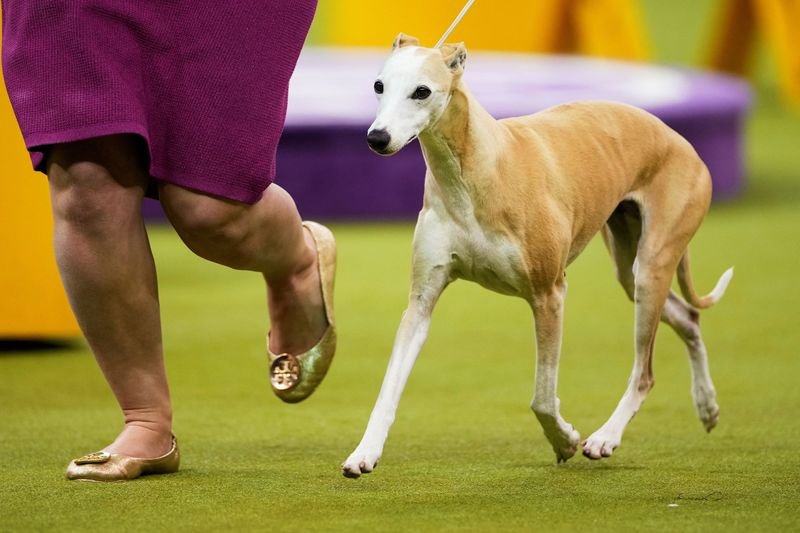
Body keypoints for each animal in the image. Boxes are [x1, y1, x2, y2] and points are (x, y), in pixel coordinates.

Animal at [340, 35, 736, 476]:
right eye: (379, 85)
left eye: (422, 91)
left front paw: (565, 439)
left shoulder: (549, 293)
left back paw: (606, 437)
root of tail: (677, 138)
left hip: (653, 264)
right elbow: (389, 388)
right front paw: (365, 452)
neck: (472, 172)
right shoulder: (421, 302)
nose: (377, 137)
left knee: (645, 372)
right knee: (689, 316)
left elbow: (543, 397)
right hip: (631, 270)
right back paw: (707, 406)